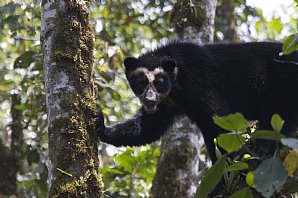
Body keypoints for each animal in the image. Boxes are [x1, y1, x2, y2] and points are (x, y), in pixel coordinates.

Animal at [95, 41, 298, 162]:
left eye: (159, 82)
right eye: (140, 82)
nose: (149, 99)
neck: (177, 87)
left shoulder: (201, 82)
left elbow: (220, 122)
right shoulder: (167, 104)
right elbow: (149, 127)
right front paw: (100, 124)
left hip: (284, 84)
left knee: (278, 116)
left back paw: (263, 148)